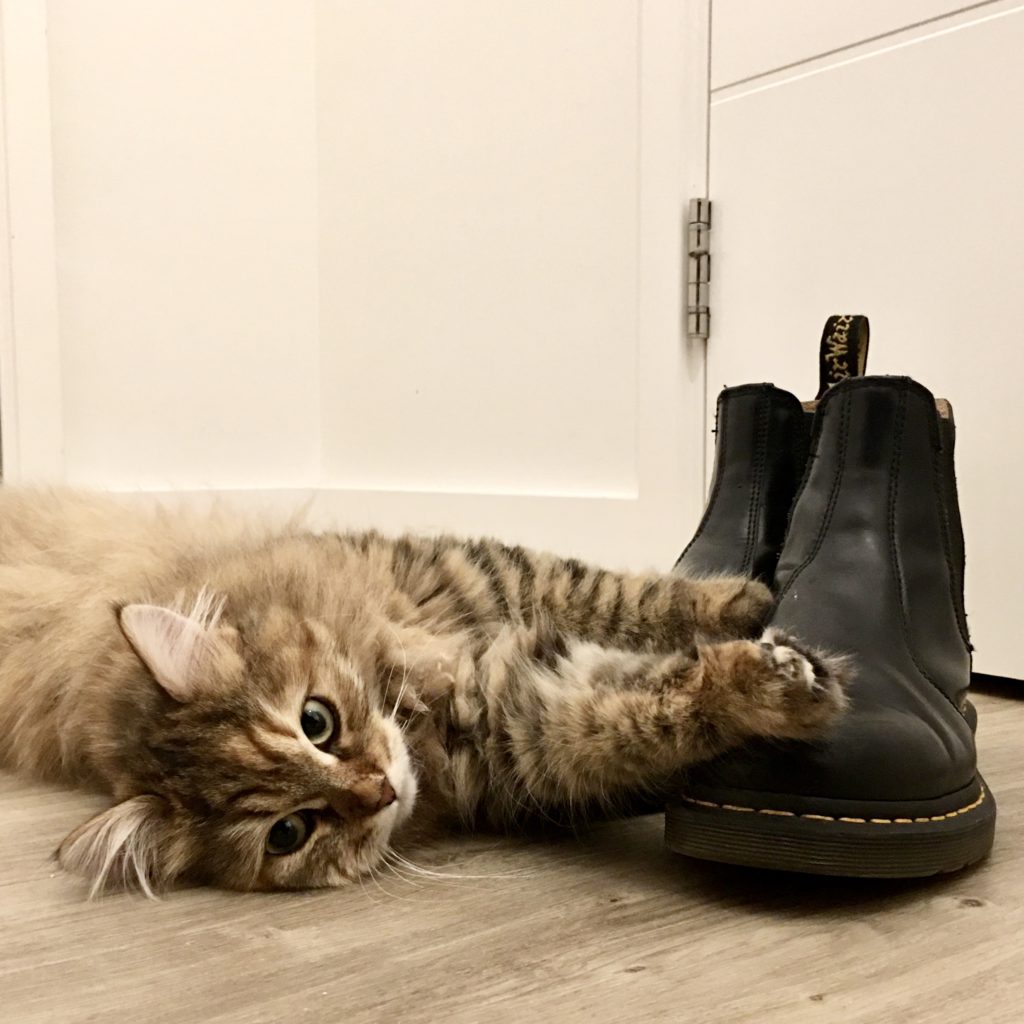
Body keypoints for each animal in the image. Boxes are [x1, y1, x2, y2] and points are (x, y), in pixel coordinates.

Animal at [0, 487, 851, 897]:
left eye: (316, 721)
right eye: (289, 833)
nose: (380, 791)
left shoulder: (501, 579)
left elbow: (624, 596)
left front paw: (749, 602)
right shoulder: (521, 719)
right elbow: (637, 709)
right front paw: (767, 686)